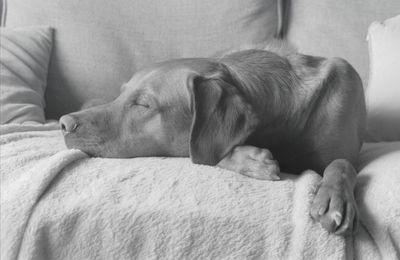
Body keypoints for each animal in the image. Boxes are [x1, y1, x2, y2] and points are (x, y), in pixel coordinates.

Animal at [58, 48, 366, 236]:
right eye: (121, 94)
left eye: (143, 104)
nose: (63, 123)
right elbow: (203, 151)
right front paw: (251, 159)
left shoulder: (347, 152)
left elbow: (342, 164)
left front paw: (335, 197)